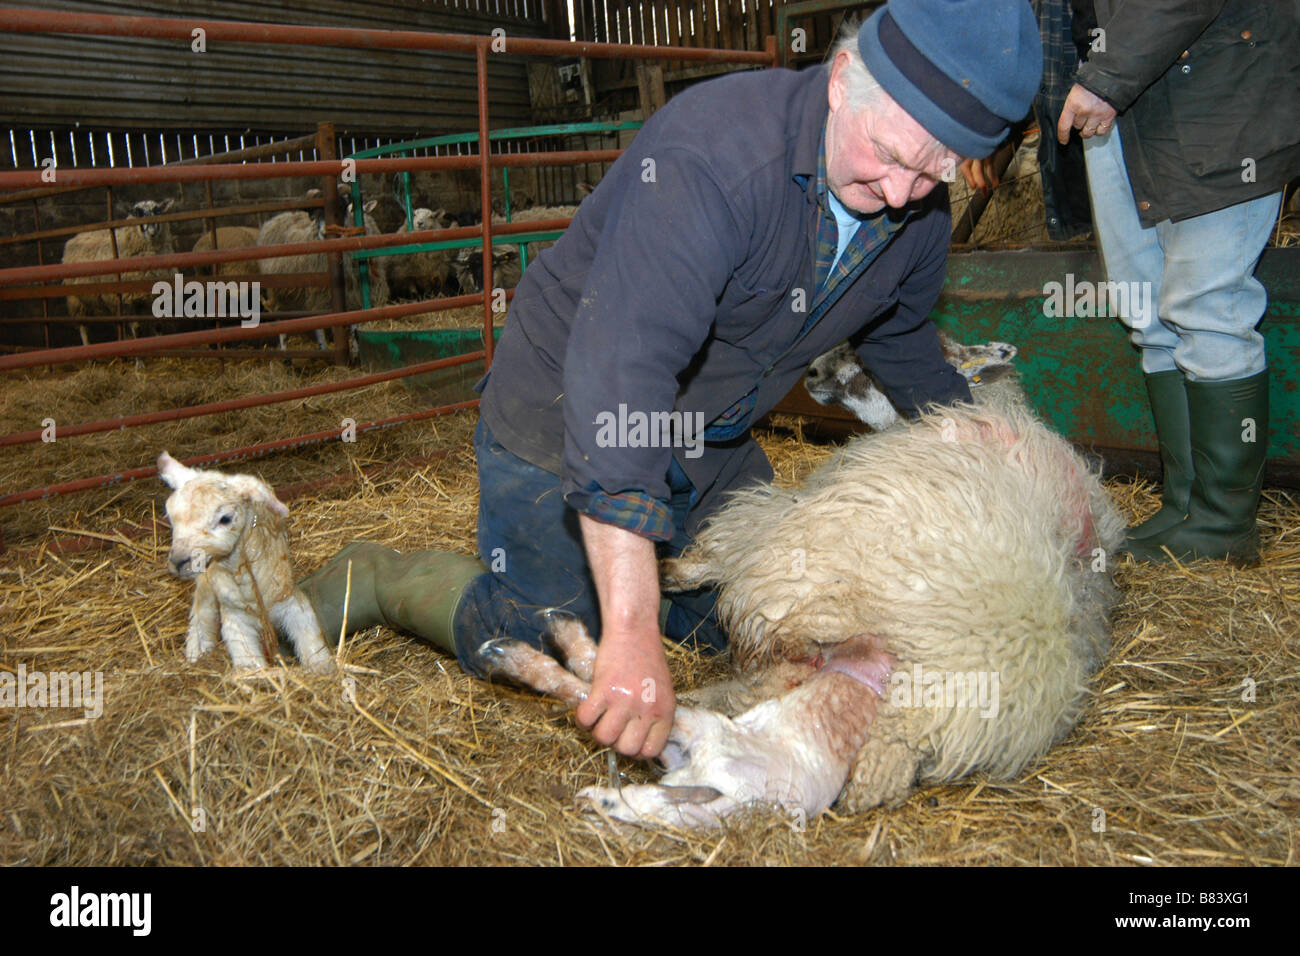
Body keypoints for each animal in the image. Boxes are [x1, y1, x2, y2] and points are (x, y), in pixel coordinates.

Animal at [62, 198, 176, 346]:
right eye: (136, 213)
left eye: (158, 211)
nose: (152, 232)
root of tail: (78, 235)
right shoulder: (129, 301)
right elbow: (137, 329)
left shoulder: (154, 297)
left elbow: (158, 326)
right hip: (76, 300)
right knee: (83, 327)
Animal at [157, 451, 335, 675]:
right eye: (171, 518)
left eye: (225, 518)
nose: (178, 562)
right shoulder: (235, 617)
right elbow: (247, 659)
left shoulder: (291, 600)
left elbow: (310, 638)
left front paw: (322, 668)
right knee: (202, 607)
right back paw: (197, 648)